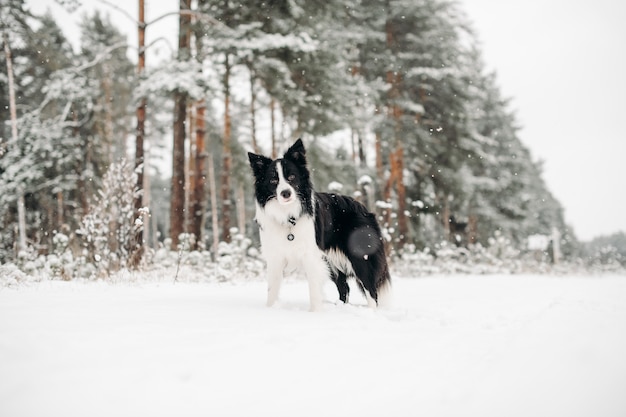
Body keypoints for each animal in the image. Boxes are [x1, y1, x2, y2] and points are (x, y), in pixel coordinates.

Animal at [246, 139, 388, 308]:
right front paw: (270, 309)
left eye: (292, 177)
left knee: (371, 289)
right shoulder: (275, 256)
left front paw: (315, 312)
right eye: (273, 180)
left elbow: (314, 290)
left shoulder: (311, 255)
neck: (288, 215)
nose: (285, 193)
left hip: (360, 256)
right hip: (330, 261)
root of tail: (362, 207)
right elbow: (272, 290)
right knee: (344, 287)